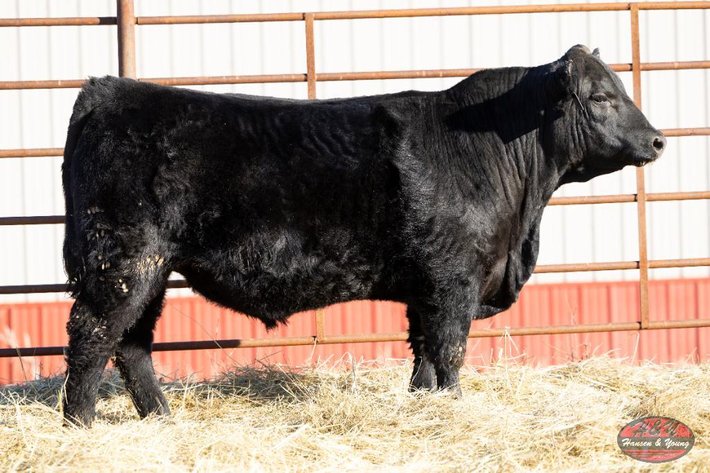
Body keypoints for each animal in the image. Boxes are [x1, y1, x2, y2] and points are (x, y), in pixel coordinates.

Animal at [61, 45, 665, 426]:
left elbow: (424, 356)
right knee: (93, 337)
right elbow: (450, 352)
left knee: (132, 343)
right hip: (123, 260)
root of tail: (108, 90)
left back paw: (161, 420)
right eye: (600, 96)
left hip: (152, 268)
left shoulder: (426, 288)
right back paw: (81, 424)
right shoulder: (455, 282)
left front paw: (424, 406)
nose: (658, 139)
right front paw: (455, 406)